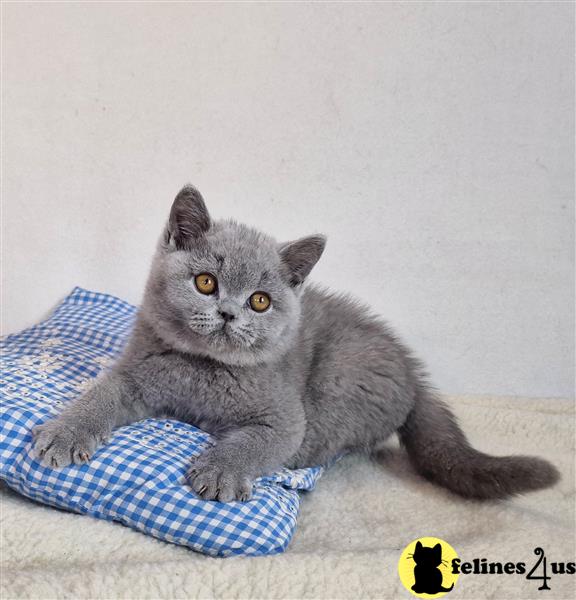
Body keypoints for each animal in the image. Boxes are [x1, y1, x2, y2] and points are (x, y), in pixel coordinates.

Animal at [31, 186, 560, 502]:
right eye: (205, 283)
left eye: (260, 301)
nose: (228, 313)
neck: (203, 371)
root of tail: (415, 374)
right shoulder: (134, 373)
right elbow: (100, 396)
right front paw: (64, 433)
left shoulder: (285, 417)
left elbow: (260, 440)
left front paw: (220, 472)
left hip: (342, 379)